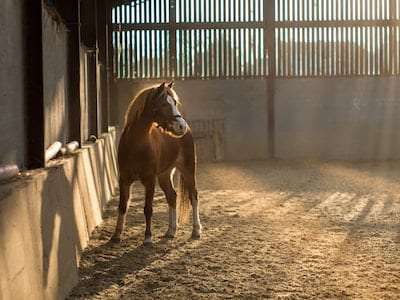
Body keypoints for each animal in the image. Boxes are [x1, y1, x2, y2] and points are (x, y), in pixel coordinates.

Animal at [110, 81, 202, 245]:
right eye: (164, 104)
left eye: (175, 102)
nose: (181, 126)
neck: (136, 144)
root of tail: (188, 131)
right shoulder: (124, 179)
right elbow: (122, 206)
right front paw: (117, 235)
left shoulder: (149, 180)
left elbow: (148, 208)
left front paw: (147, 237)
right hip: (164, 175)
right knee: (172, 196)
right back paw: (171, 231)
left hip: (188, 169)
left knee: (193, 196)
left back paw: (196, 231)